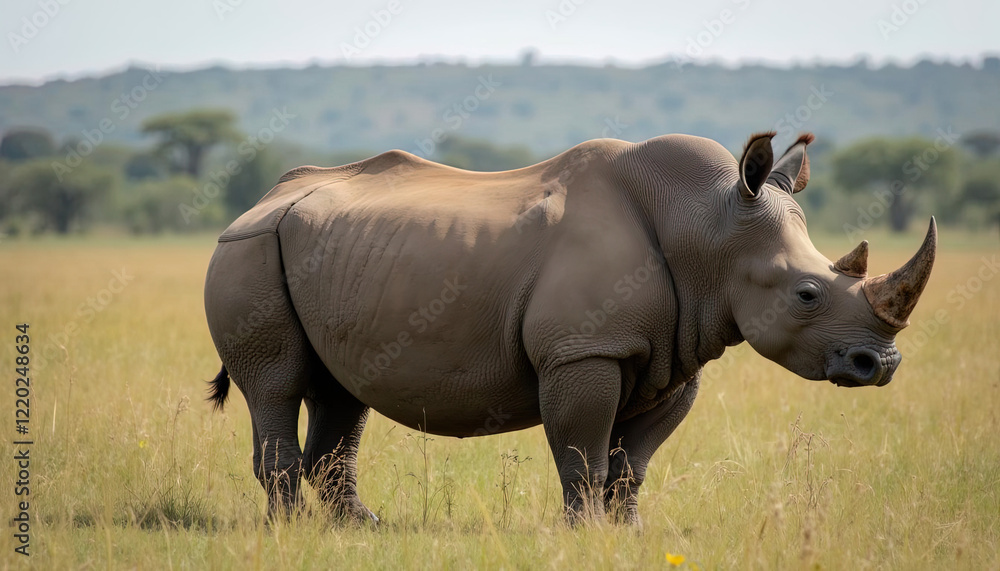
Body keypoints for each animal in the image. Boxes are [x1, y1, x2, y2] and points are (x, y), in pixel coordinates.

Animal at [204, 131, 935, 525]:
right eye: (807, 294)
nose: (881, 365)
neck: (707, 230)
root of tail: (262, 200)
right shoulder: (584, 350)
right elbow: (583, 452)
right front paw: (583, 534)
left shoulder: (676, 354)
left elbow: (632, 463)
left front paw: (629, 534)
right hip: (248, 249)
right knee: (276, 383)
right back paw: (291, 531)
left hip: (330, 256)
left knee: (342, 389)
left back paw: (361, 528)